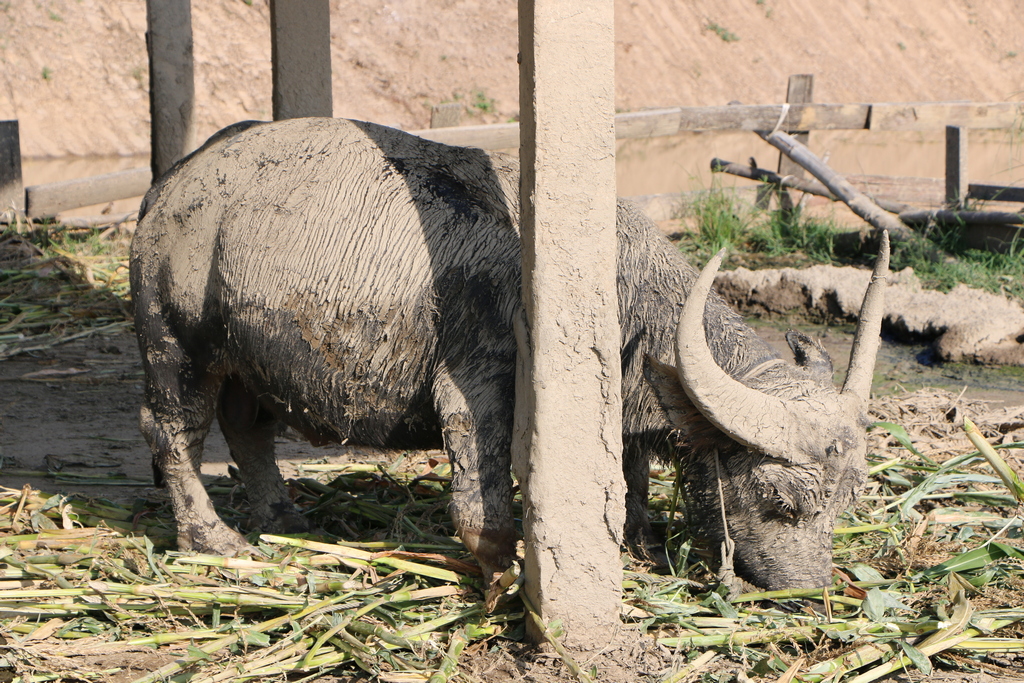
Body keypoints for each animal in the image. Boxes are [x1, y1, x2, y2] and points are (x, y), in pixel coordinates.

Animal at [130, 116, 888, 589]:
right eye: (780, 499)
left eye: (848, 499)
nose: (807, 587)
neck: (610, 287)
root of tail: (169, 186)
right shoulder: (478, 381)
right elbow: (482, 495)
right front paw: (504, 567)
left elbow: (628, 473)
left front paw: (638, 541)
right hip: (174, 341)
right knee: (174, 432)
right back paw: (212, 539)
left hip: (248, 356)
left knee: (248, 428)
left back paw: (283, 517)